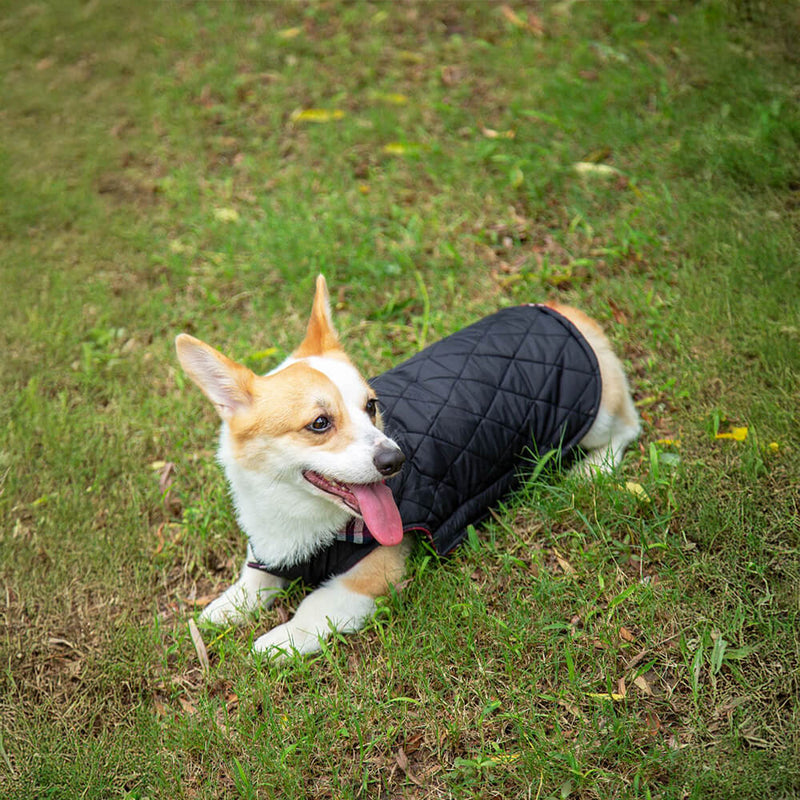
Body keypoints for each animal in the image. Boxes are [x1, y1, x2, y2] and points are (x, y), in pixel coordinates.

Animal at [178, 276, 640, 656]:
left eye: (371, 406)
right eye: (320, 423)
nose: (395, 460)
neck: (295, 512)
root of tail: (566, 313)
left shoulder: (370, 574)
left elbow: (315, 604)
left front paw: (278, 640)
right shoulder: (268, 550)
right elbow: (252, 581)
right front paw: (223, 608)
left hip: (593, 418)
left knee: (627, 428)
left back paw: (594, 469)